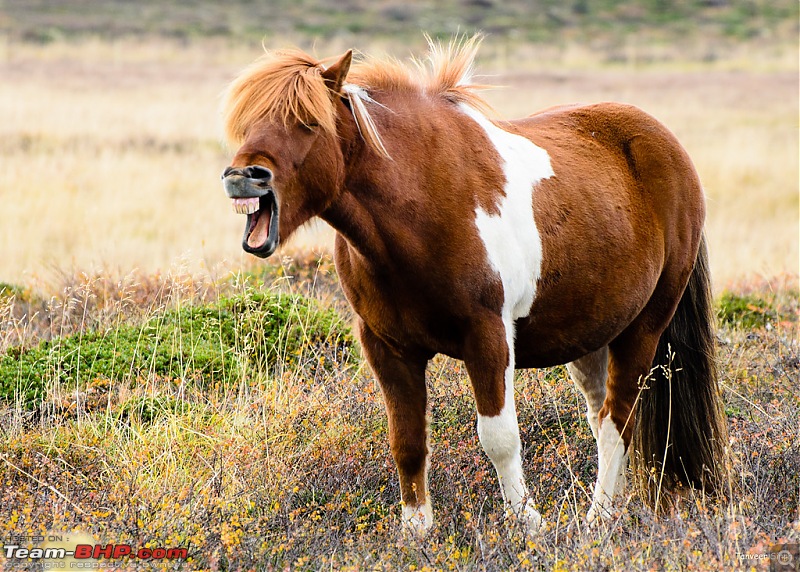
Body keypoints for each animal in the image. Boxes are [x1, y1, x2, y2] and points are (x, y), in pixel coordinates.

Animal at [222, 38, 728, 536]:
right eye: (247, 125)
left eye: (308, 123)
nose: (243, 177)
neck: (423, 202)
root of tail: (668, 147)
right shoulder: (387, 347)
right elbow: (407, 441)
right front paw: (416, 535)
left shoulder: (487, 335)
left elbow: (499, 438)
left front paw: (527, 523)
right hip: (592, 338)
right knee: (602, 414)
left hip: (644, 327)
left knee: (616, 420)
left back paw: (598, 519)